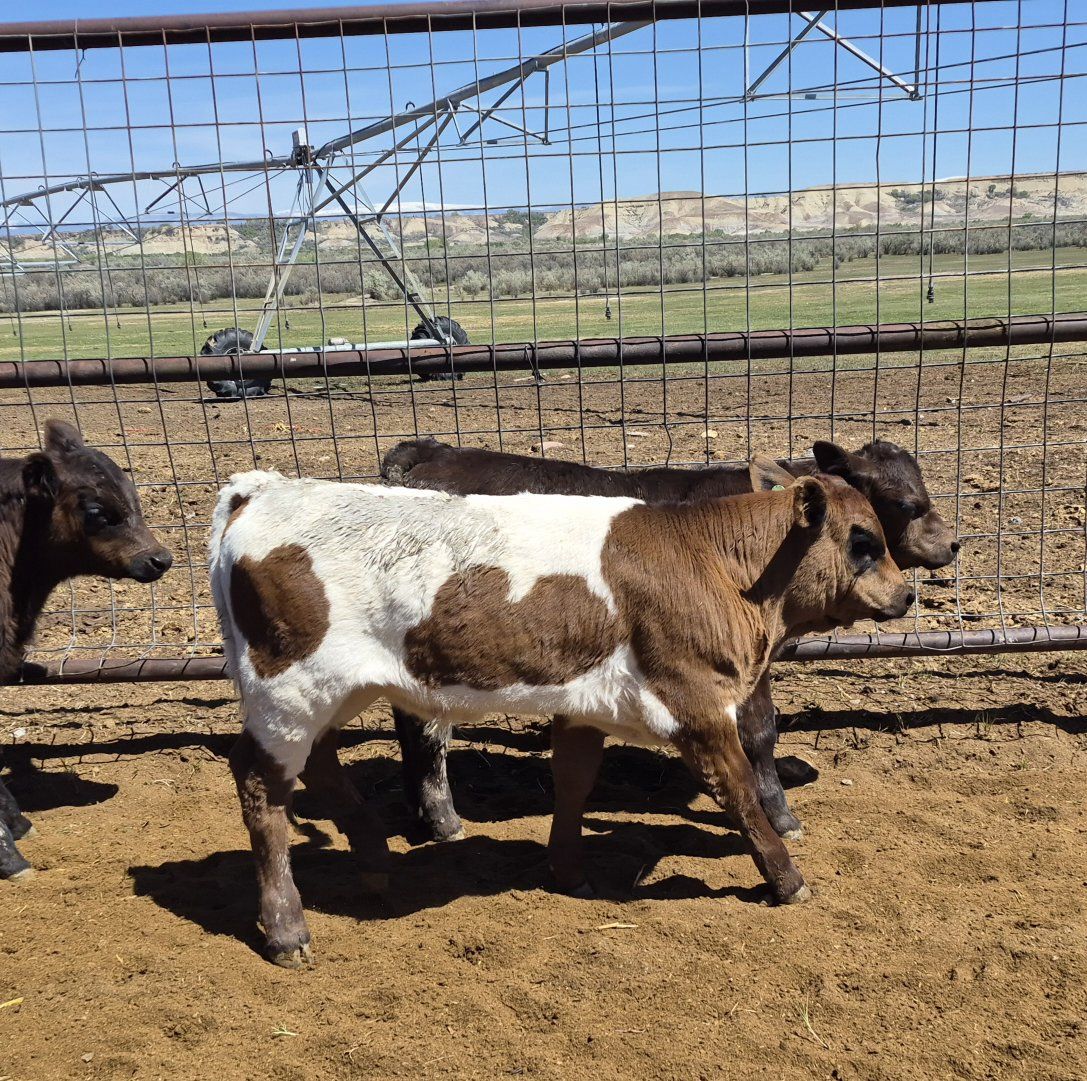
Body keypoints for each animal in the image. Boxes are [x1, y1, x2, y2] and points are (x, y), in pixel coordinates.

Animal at [210, 469, 912, 966]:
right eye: (863, 542)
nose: (908, 594)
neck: (712, 561)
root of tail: (262, 490)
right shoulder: (697, 704)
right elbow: (740, 793)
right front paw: (787, 879)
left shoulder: (586, 705)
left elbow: (574, 781)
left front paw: (569, 872)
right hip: (289, 692)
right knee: (261, 787)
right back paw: (287, 928)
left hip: (330, 694)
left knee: (320, 768)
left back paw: (376, 859)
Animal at [381, 437, 959, 844]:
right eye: (905, 503)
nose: (953, 544)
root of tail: (431, 453)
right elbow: (759, 731)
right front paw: (779, 813)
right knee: (427, 729)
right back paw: (443, 818)